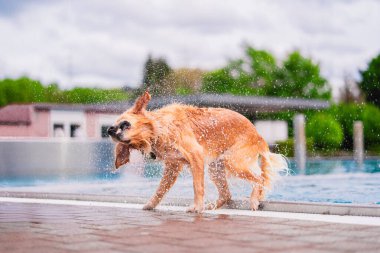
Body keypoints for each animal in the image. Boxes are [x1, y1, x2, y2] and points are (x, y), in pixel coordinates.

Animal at [108, 92, 286, 212]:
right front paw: (150, 204)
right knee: (227, 195)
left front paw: (197, 207)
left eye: (124, 124)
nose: (109, 129)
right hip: (216, 167)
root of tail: (258, 135)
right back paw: (211, 205)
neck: (160, 128)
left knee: (260, 178)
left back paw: (254, 199)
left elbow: (197, 186)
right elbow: (160, 190)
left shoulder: (196, 156)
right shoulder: (172, 167)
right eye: (126, 144)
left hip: (232, 162)